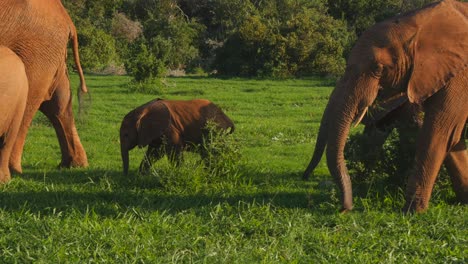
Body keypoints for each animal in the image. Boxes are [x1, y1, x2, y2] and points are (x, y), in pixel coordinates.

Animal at [0, 0, 88, 177]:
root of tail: (67, 19)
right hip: (49, 54)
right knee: (58, 104)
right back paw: (73, 165)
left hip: (36, 52)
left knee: (28, 102)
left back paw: (13, 171)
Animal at [302, 0, 466, 213]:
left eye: (378, 69)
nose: (346, 208)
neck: (420, 21)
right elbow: (453, 136)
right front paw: (466, 200)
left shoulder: (460, 75)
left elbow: (440, 132)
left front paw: (411, 211)